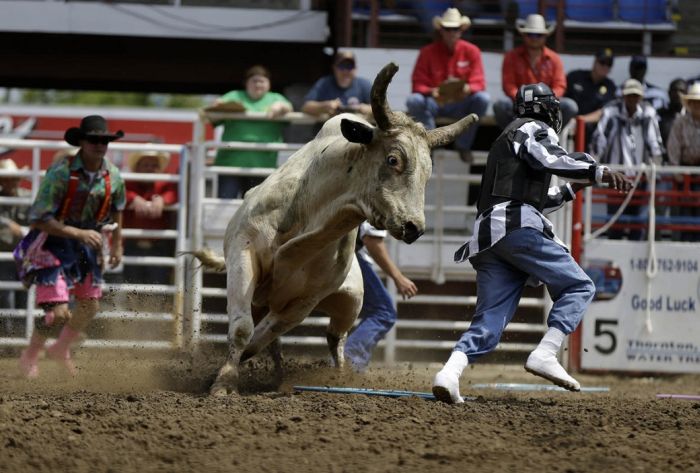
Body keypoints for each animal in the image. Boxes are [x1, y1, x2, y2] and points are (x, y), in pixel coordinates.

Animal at [193, 62, 476, 394]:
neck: (308, 217)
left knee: (335, 340)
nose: (413, 227)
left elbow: (260, 337)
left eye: (428, 172)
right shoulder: (243, 254)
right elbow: (243, 330)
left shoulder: (305, 301)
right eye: (393, 159)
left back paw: (335, 378)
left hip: (348, 304)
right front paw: (224, 383)